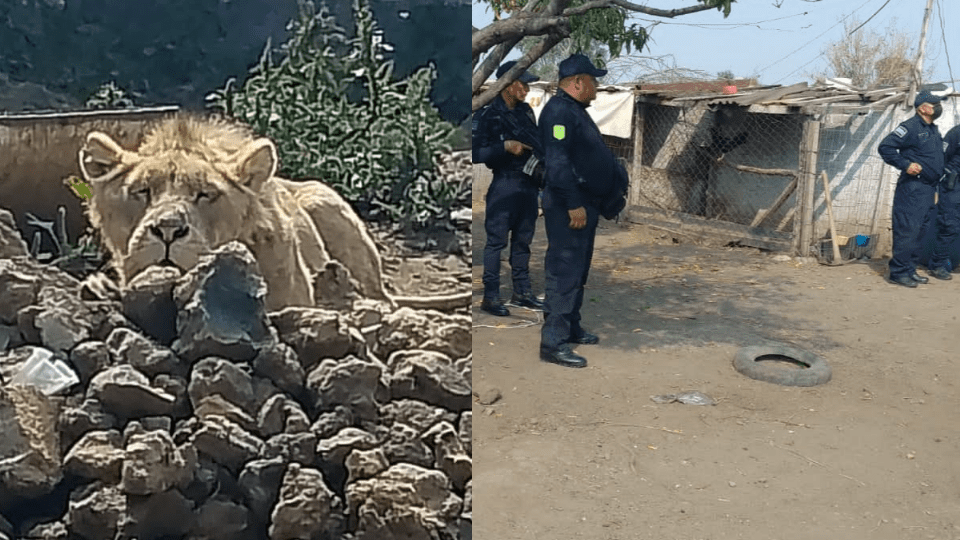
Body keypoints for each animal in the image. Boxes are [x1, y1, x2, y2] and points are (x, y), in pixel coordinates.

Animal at [79, 114, 472, 312]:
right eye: (141, 191)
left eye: (206, 194)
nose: (168, 230)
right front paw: (100, 286)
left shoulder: (294, 300)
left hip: (321, 200)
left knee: (382, 298)